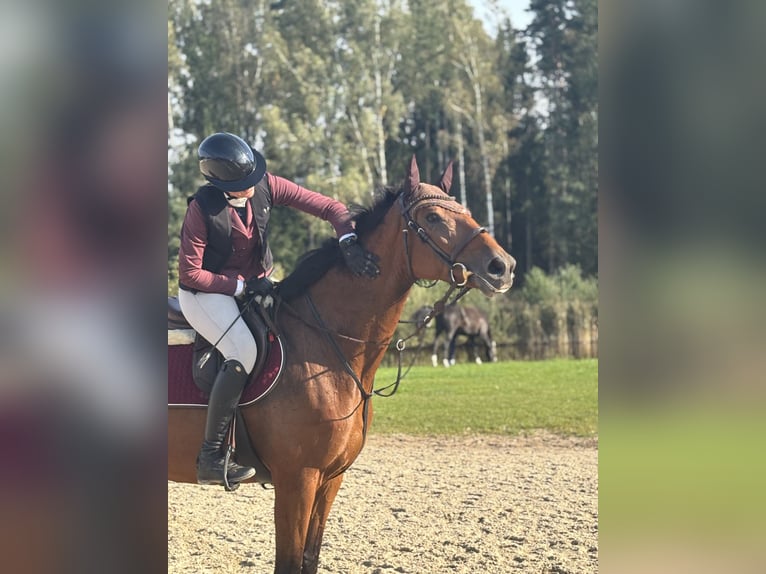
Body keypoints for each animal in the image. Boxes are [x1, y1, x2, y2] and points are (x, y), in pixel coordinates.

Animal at [167, 156, 516, 574]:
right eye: (432, 217)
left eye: (465, 209)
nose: (503, 266)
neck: (328, 348)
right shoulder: (297, 480)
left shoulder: (329, 479)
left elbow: (310, 557)